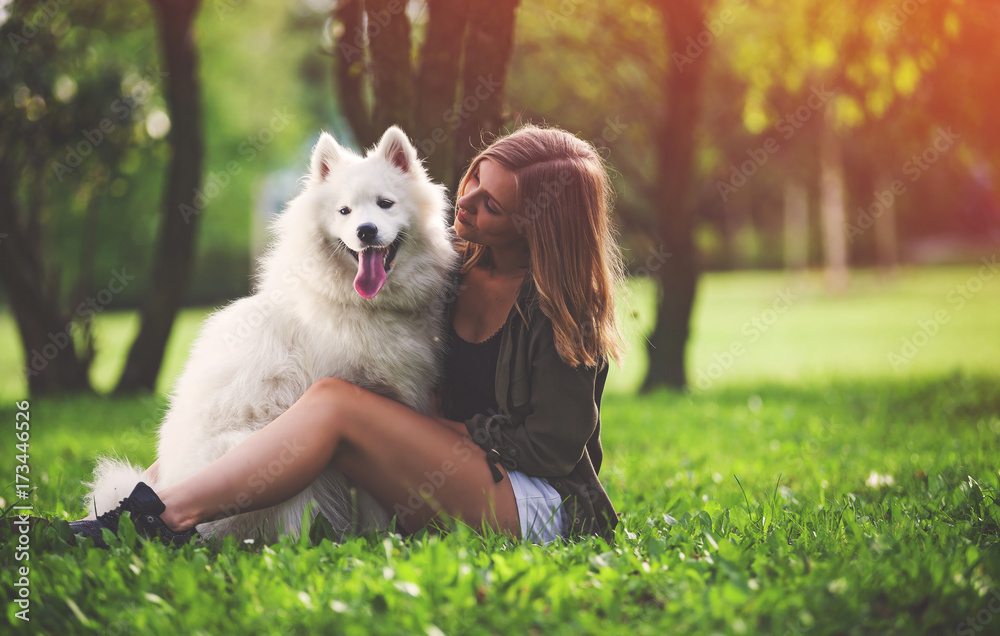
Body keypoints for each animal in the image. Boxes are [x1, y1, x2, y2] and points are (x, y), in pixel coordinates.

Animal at [85, 125, 458, 540]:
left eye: (385, 203)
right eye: (344, 211)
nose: (366, 231)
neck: (362, 306)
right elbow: (373, 508)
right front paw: (378, 539)